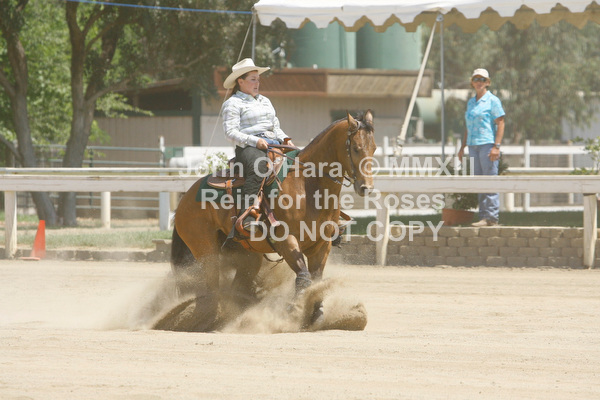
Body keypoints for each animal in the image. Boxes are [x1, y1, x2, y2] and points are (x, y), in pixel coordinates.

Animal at [167, 110, 375, 331]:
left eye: (374, 148)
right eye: (356, 148)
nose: (366, 187)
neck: (307, 185)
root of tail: (185, 199)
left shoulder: (321, 245)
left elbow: (316, 279)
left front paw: (316, 315)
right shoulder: (287, 240)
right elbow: (304, 277)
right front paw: (295, 312)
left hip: (248, 256)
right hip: (206, 251)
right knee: (212, 287)